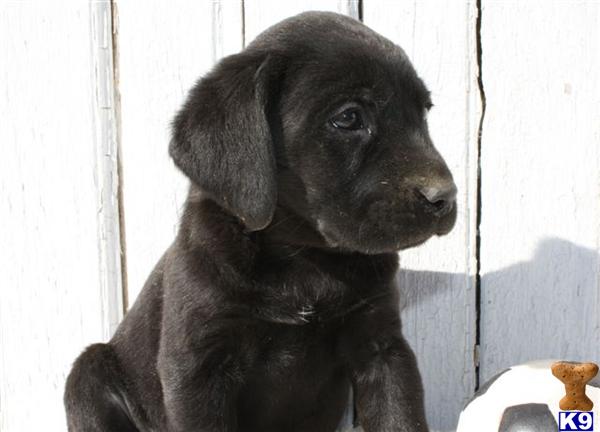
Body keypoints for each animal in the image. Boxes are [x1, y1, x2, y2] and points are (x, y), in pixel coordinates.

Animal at [65, 11, 457, 432]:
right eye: (349, 117)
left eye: (424, 112)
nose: (445, 197)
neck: (303, 259)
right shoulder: (198, 370)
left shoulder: (381, 348)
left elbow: (400, 416)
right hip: (88, 375)